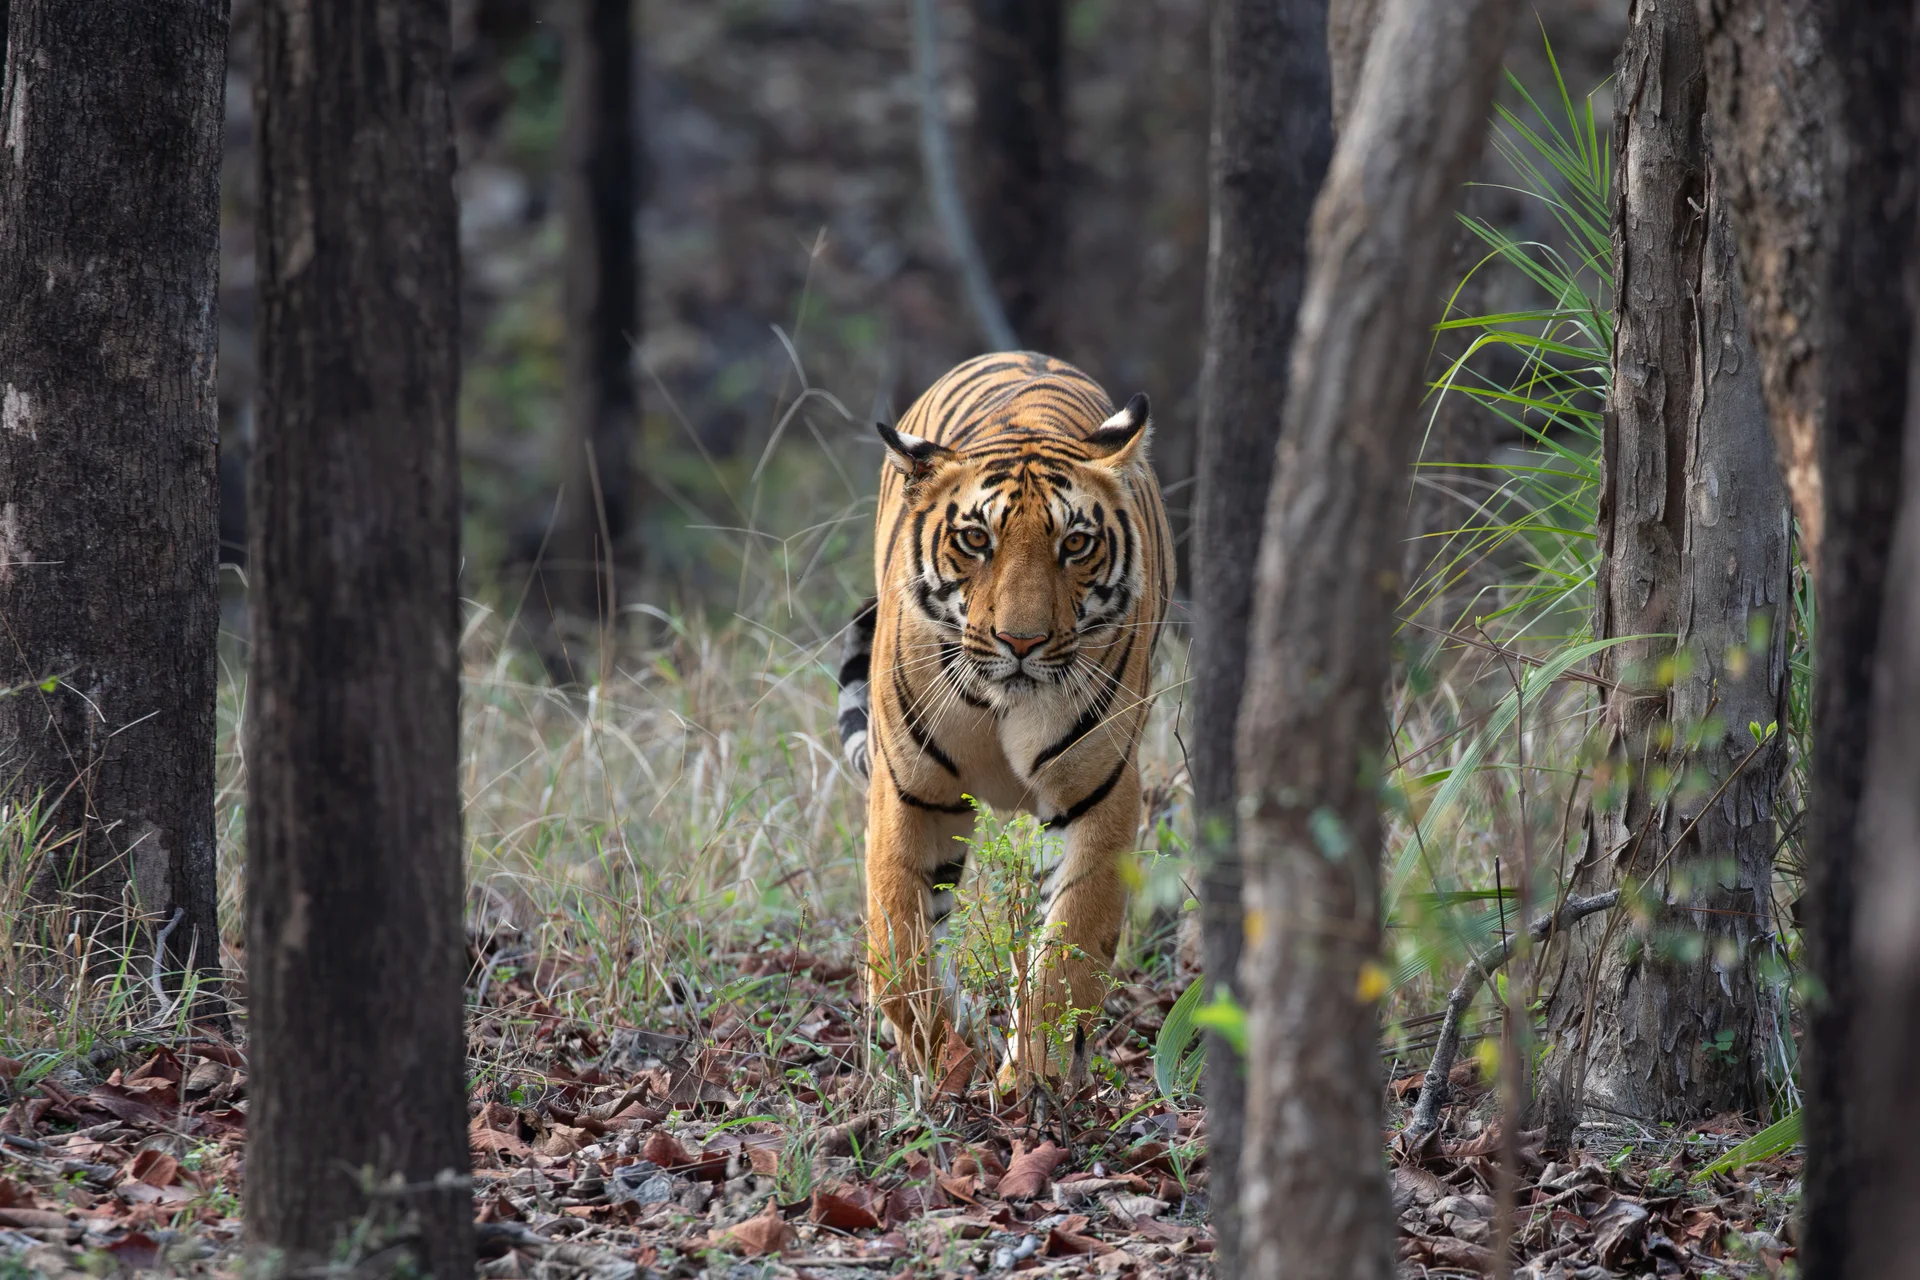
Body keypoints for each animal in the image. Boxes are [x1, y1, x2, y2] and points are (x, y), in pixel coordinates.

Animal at [835, 351, 1173, 1084]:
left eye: (1076, 544)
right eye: (974, 539)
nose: (1021, 641)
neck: (1004, 704)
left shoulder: (1100, 795)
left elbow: (1069, 955)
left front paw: (1032, 1080)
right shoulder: (908, 790)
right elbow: (898, 940)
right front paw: (936, 1060)